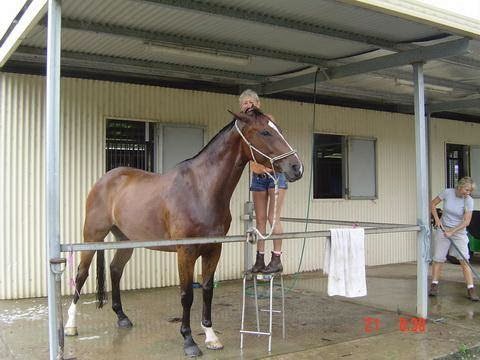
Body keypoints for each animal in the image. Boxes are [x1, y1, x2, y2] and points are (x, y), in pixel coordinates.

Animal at [63, 107, 304, 358]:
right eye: (265, 132)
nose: (296, 168)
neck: (201, 190)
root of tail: (105, 179)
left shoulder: (213, 249)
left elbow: (206, 290)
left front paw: (211, 336)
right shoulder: (185, 252)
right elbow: (187, 295)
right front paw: (189, 341)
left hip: (125, 240)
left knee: (115, 270)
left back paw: (122, 317)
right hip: (92, 236)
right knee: (81, 275)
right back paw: (70, 325)